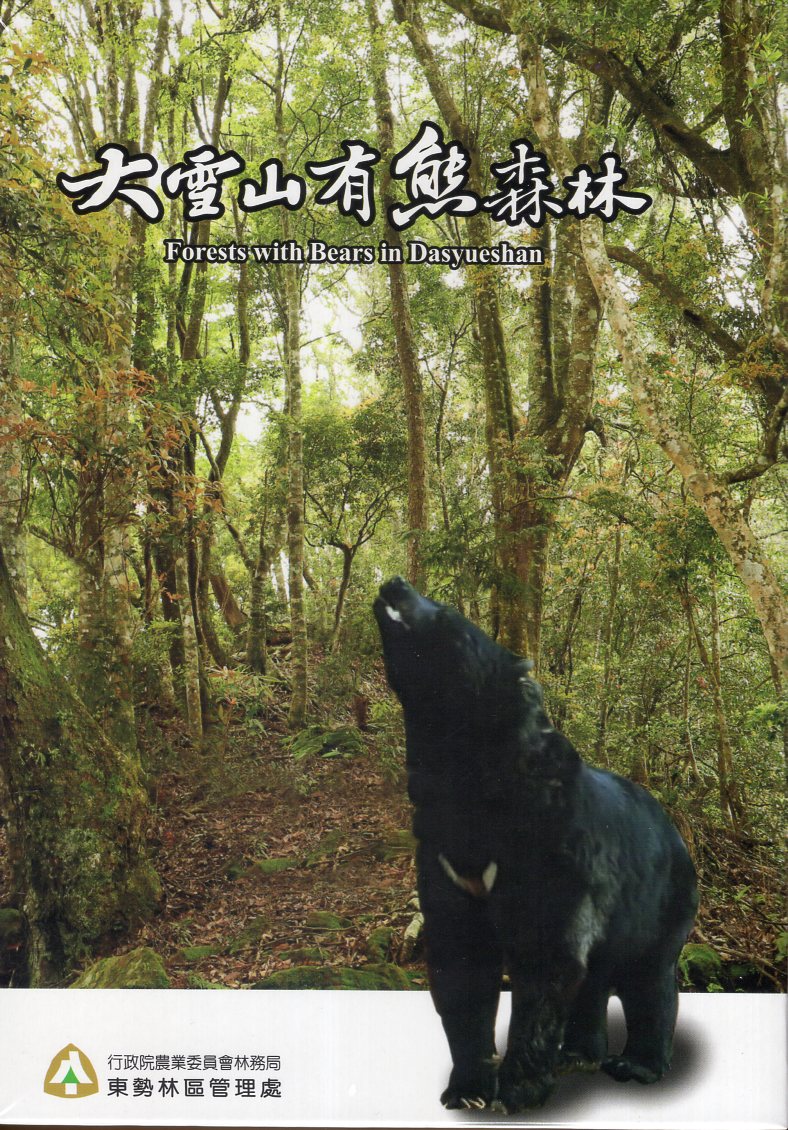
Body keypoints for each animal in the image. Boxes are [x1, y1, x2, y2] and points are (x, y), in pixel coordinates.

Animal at [373, 576, 698, 1113]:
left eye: (445, 612)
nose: (394, 583)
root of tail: (679, 834)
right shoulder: (442, 853)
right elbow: (460, 959)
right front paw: (466, 1089)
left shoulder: (552, 848)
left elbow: (546, 954)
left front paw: (516, 1089)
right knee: (595, 979)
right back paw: (578, 1055)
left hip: (660, 906)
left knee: (648, 979)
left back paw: (635, 1065)